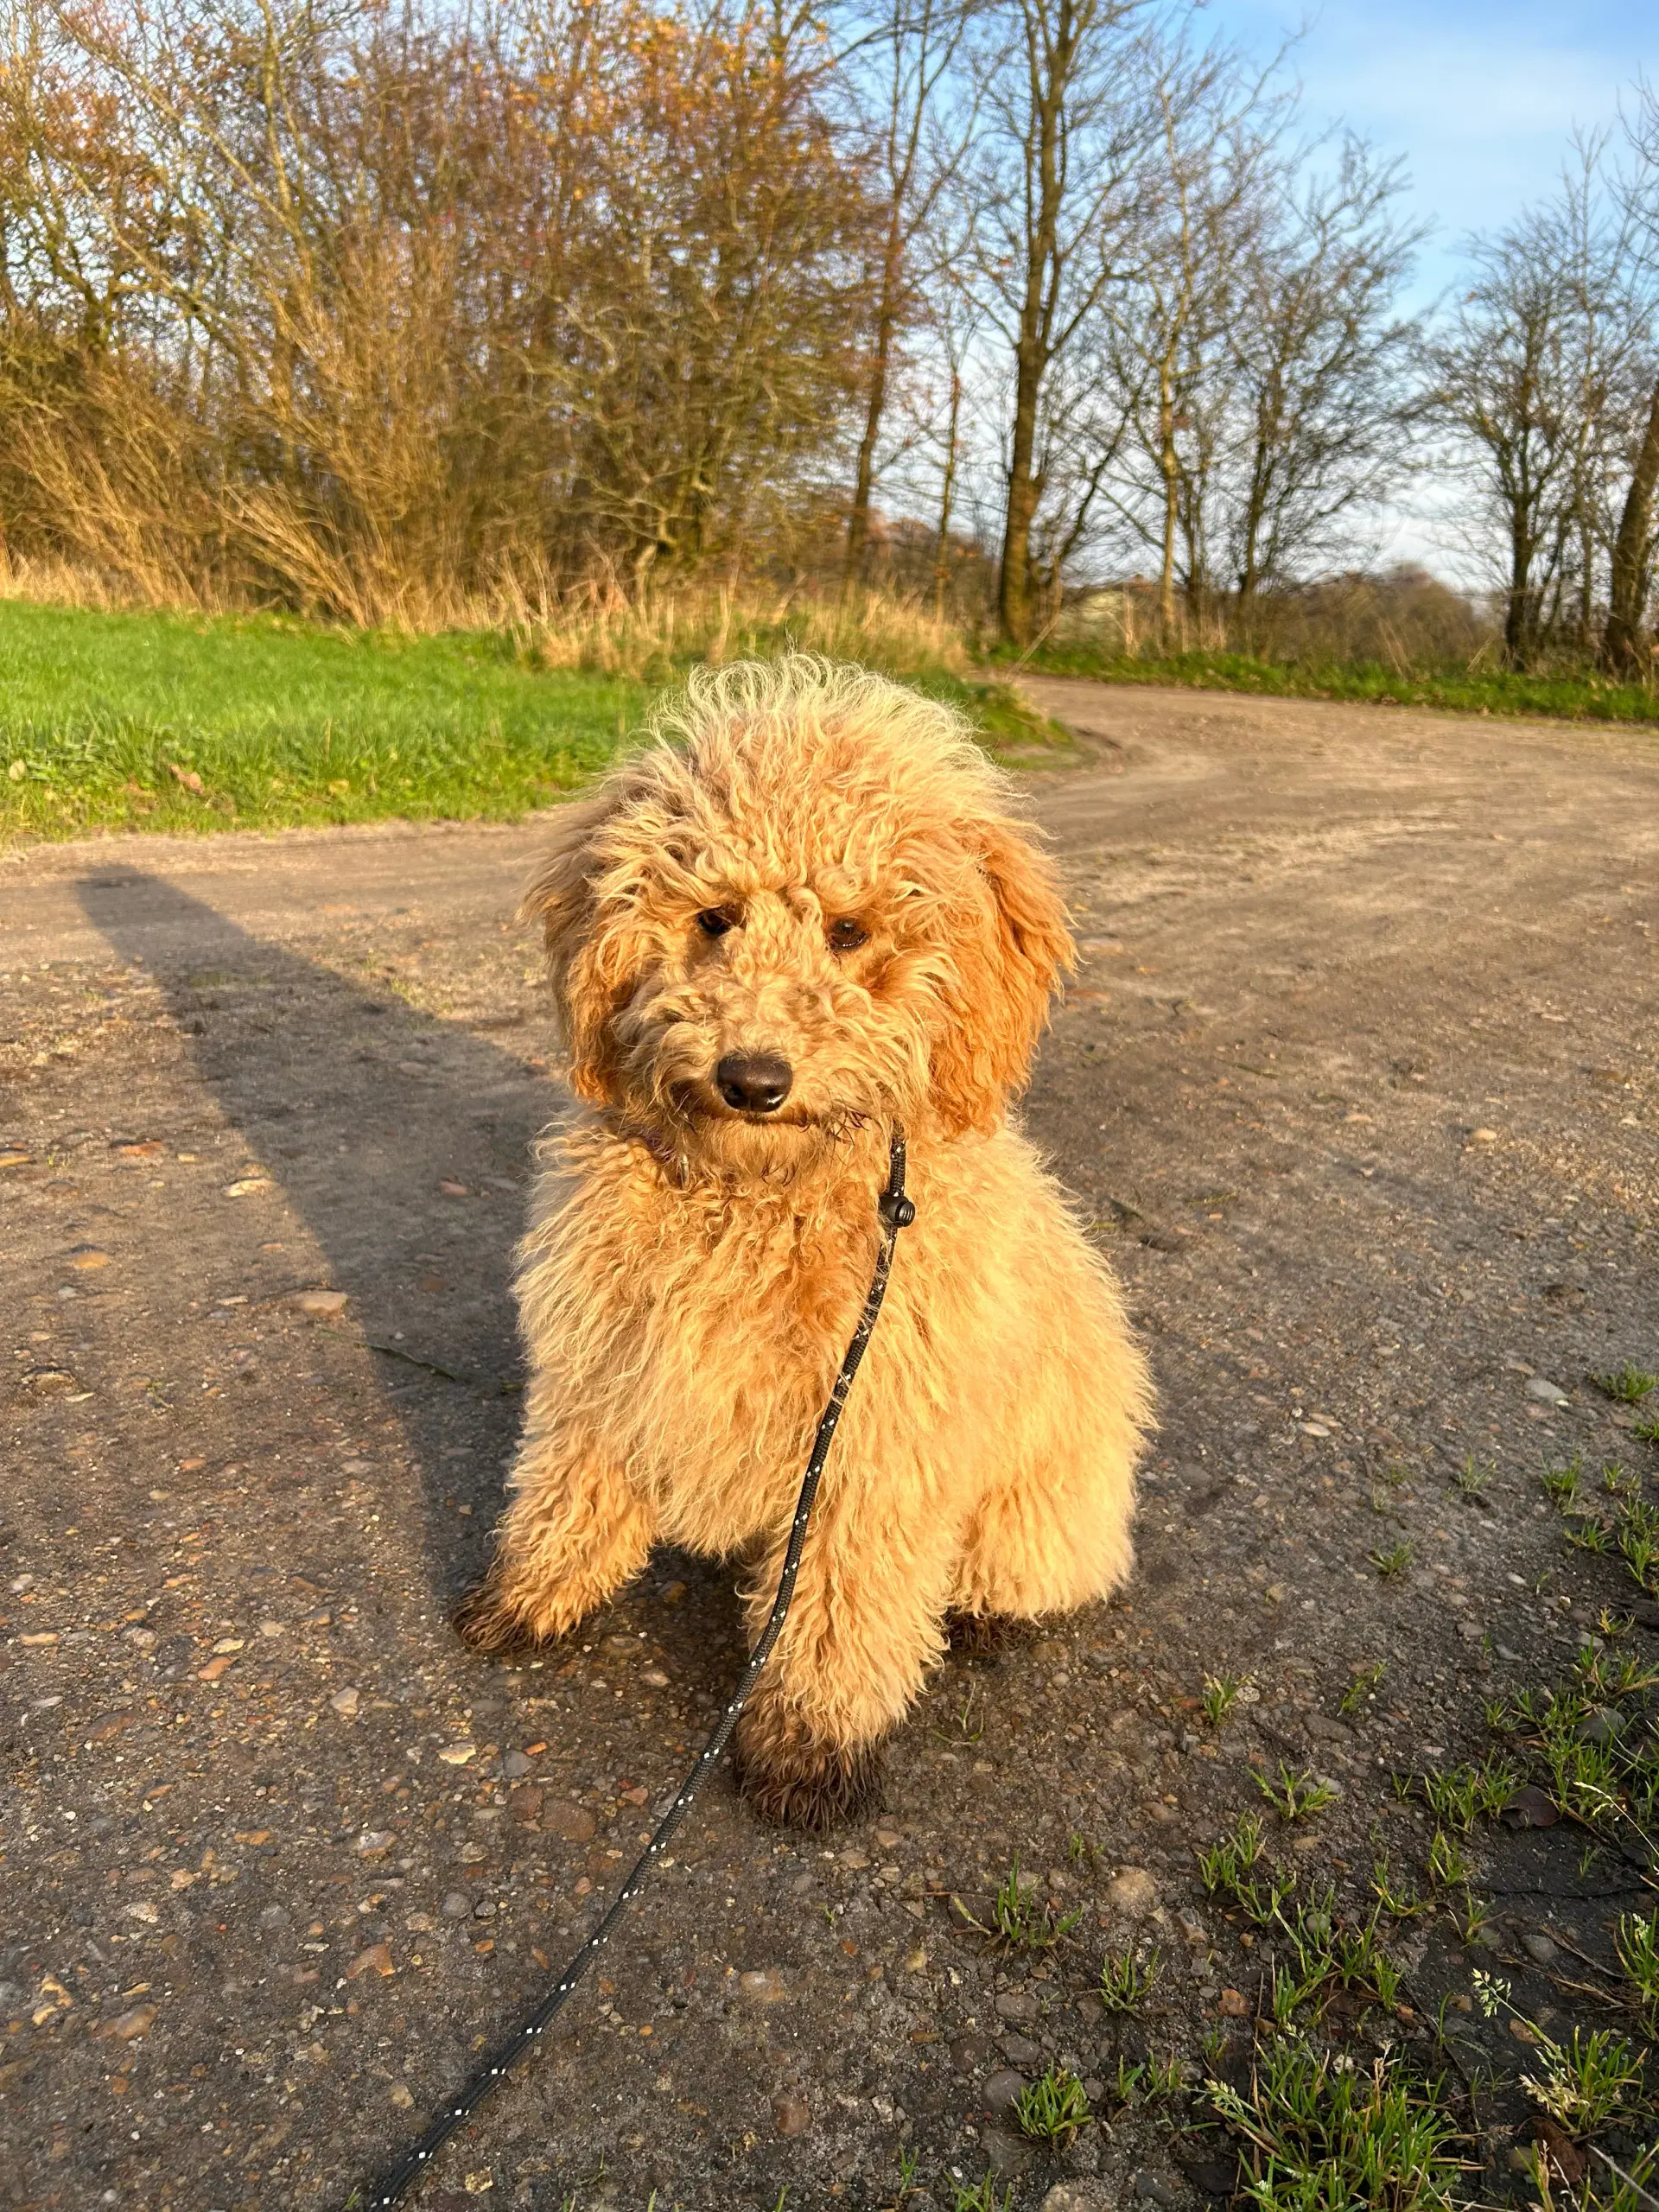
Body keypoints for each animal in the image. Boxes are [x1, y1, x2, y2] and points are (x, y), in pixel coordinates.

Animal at [455, 654, 1159, 1831]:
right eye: (714, 916)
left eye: (849, 931)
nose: (753, 1077)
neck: (759, 1197)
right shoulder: (610, 1352)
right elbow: (572, 1478)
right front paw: (535, 1593)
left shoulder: (874, 1435)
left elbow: (843, 1602)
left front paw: (810, 1744)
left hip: (1041, 1510)